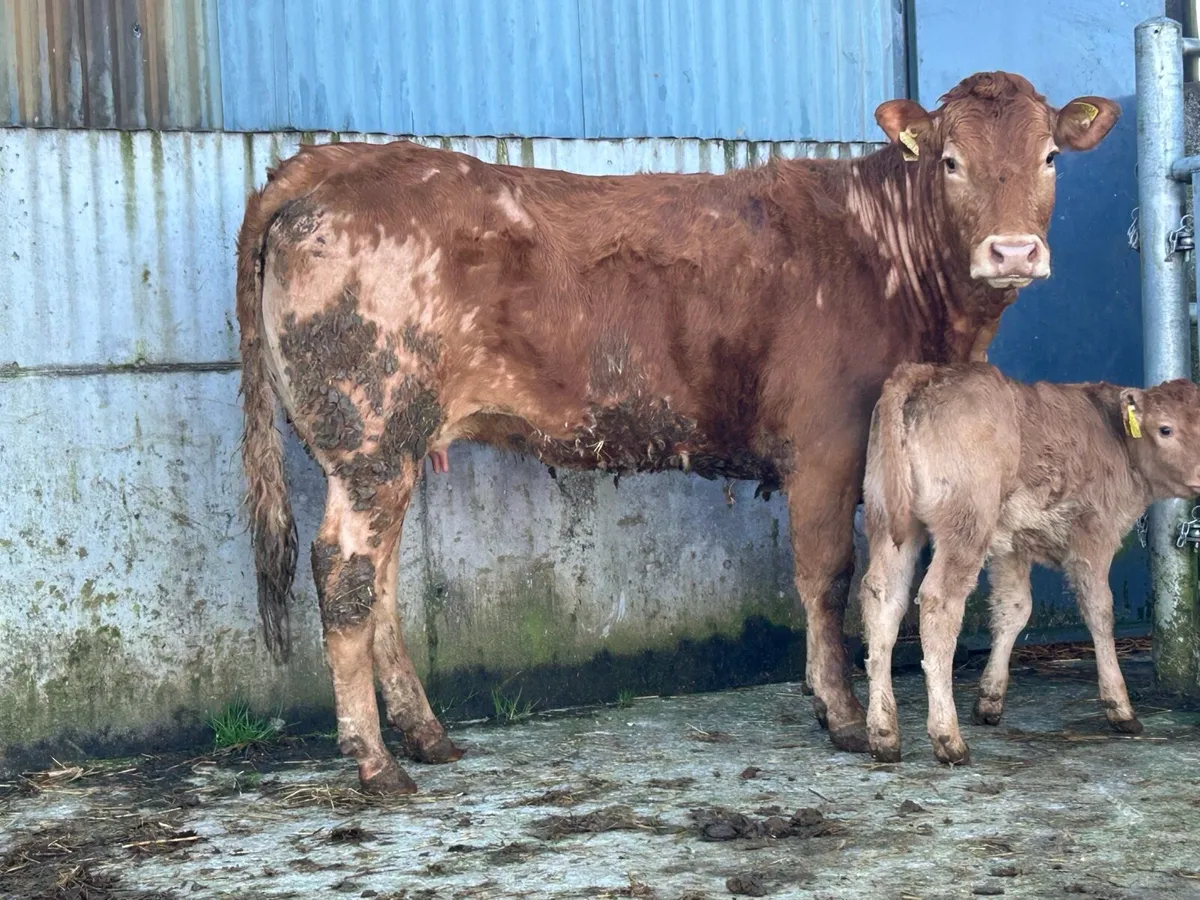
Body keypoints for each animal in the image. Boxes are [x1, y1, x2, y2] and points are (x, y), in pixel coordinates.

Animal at [235, 72, 1120, 793]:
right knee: (345, 573)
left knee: (380, 583)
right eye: (949, 162)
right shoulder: (828, 446)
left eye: (1049, 156)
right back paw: (375, 760)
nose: (1013, 250)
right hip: (370, 431)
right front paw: (838, 711)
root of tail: (336, 160)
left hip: (389, 448)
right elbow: (826, 577)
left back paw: (425, 735)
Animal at [860, 362, 1200, 765]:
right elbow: (1100, 611)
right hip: (965, 524)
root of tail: (920, 373)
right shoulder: (1094, 534)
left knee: (884, 600)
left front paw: (989, 699)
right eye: (1165, 429)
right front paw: (1120, 707)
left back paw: (883, 733)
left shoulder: (1011, 544)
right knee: (939, 603)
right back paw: (947, 737)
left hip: (888, 520)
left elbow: (1015, 609)